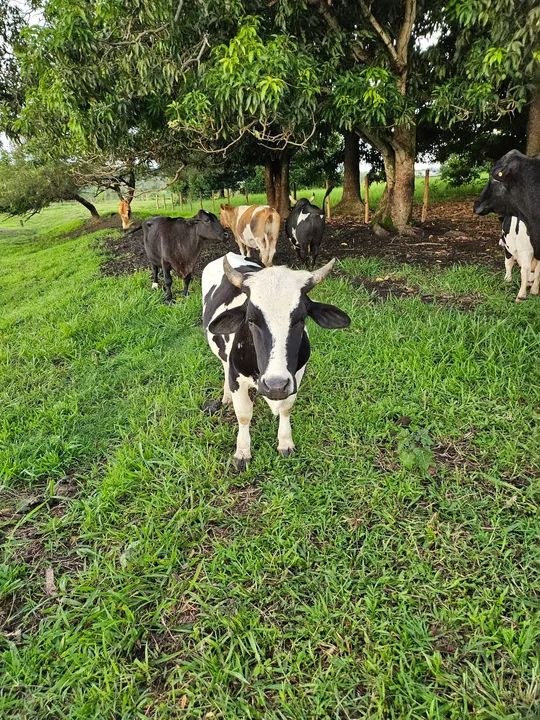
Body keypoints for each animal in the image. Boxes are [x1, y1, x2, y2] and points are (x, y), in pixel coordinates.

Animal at [202, 252, 351, 470]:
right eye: (251, 319)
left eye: (300, 318)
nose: (275, 385)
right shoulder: (237, 376)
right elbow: (244, 414)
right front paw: (242, 452)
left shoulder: (296, 376)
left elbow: (287, 407)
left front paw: (285, 442)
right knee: (224, 364)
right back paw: (226, 396)